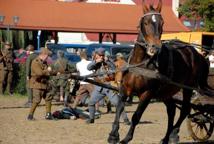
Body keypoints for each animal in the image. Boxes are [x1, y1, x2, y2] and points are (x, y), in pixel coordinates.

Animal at [108, 0, 211, 143]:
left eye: (162, 23)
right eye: (146, 22)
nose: (155, 47)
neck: (141, 64)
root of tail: (195, 53)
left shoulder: (147, 93)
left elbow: (136, 116)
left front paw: (127, 138)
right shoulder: (125, 88)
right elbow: (119, 108)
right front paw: (113, 134)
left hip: (187, 87)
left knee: (185, 109)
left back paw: (174, 133)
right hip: (166, 91)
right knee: (172, 110)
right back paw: (166, 137)